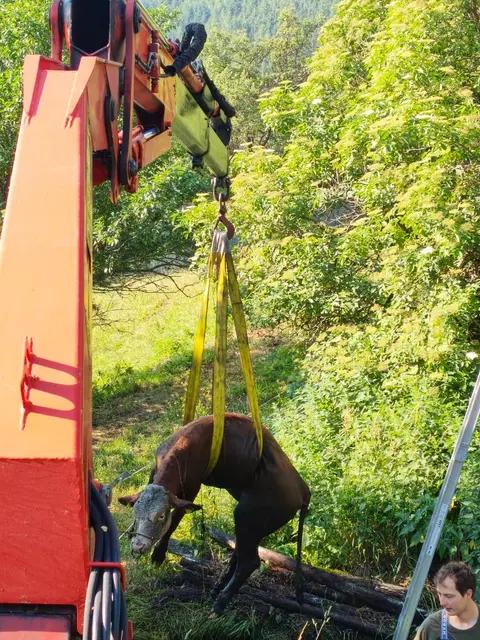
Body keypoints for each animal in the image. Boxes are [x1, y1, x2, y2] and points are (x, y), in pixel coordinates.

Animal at [119, 413, 311, 614]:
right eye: (135, 512)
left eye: (162, 515)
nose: (138, 547)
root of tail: (303, 489)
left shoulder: (192, 487)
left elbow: (176, 518)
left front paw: (158, 554)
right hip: (256, 527)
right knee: (240, 553)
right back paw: (217, 588)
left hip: (247, 516)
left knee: (249, 562)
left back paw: (219, 604)